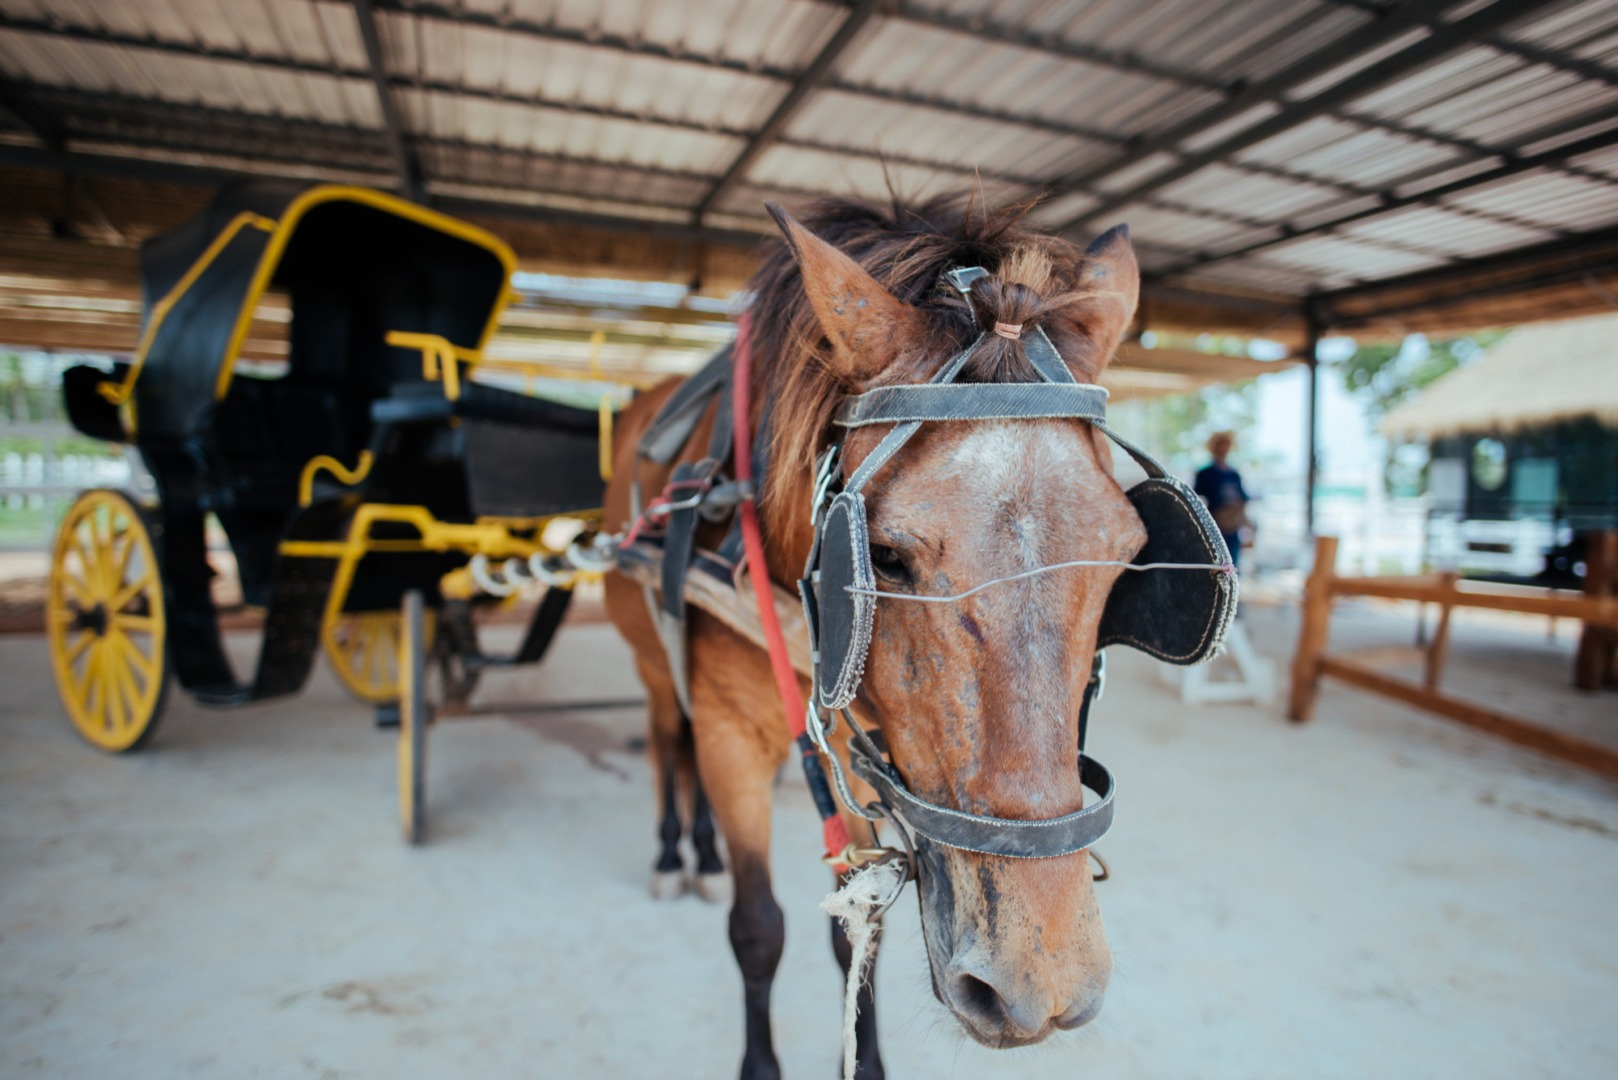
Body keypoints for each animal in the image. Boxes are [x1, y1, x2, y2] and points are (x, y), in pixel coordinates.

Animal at [601, 196, 1145, 1080]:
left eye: (1128, 553)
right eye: (883, 556)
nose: (1042, 985)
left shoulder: (865, 749)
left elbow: (858, 938)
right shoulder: (729, 733)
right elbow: (759, 929)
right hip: (656, 664)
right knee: (665, 734)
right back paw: (678, 851)